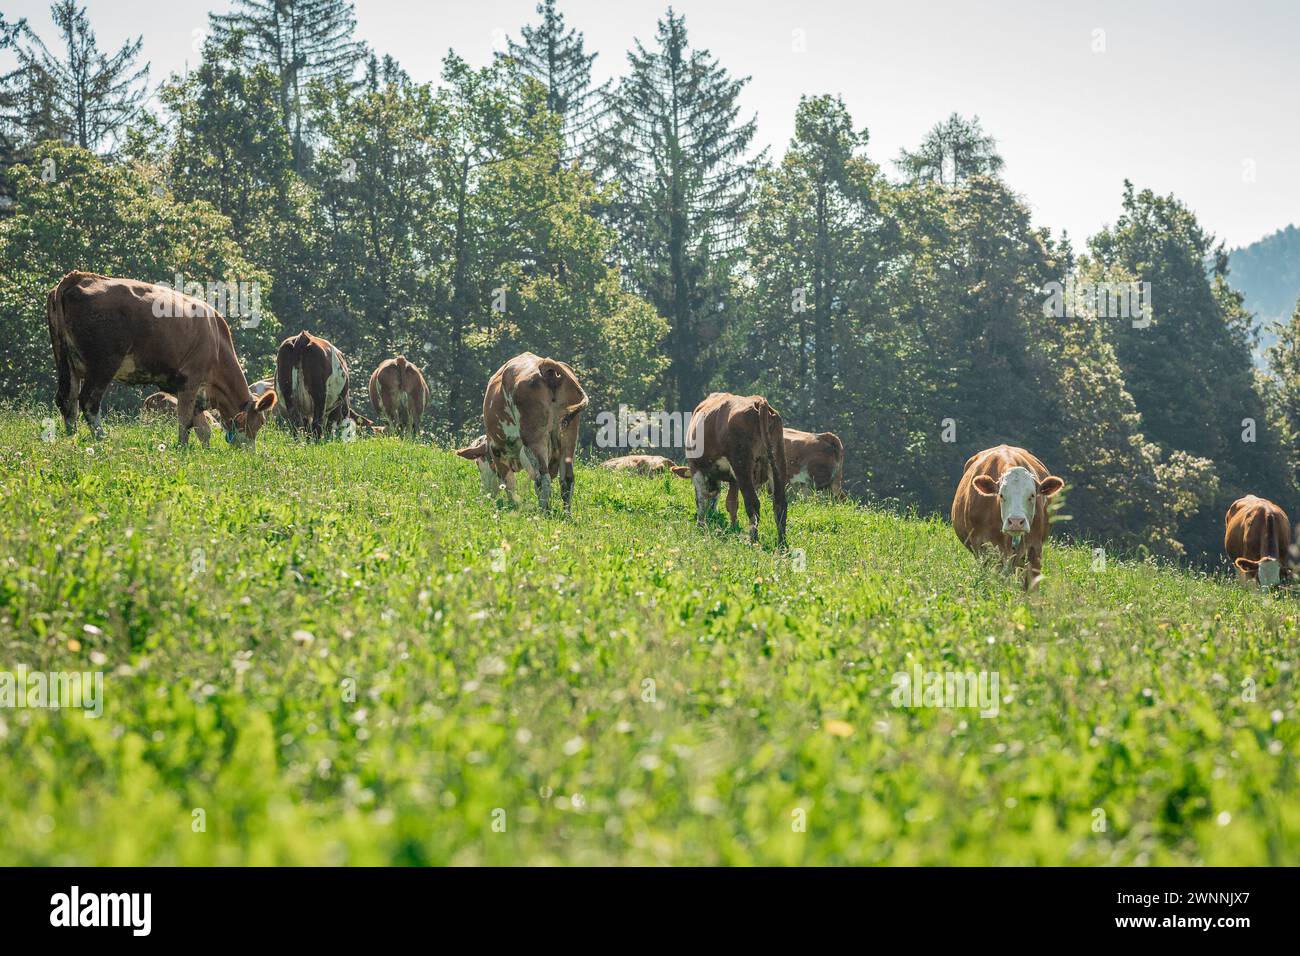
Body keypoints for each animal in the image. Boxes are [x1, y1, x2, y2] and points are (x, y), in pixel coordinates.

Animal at [47, 271, 276, 447]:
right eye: (258, 423)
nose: (249, 452)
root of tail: (77, 277)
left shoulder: (186, 389)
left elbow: (202, 428)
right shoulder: (190, 380)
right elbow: (185, 421)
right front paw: (183, 448)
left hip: (66, 360)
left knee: (67, 400)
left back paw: (71, 438)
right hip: (103, 363)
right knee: (88, 400)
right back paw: (102, 439)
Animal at [468, 353, 588, 513]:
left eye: (477, 463)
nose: (485, 494)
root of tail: (544, 364)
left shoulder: (497, 449)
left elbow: (508, 483)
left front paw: (513, 506)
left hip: (534, 439)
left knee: (543, 479)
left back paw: (543, 513)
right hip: (569, 437)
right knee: (566, 480)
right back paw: (566, 514)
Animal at [682, 392, 788, 549]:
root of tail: (759, 401)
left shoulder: (695, 466)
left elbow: (701, 498)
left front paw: (700, 525)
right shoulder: (733, 479)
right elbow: (731, 503)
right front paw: (733, 528)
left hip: (742, 466)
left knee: (753, 503)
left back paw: (753, 541)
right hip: (777, 460)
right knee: (780, 504)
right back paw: (782, 545)